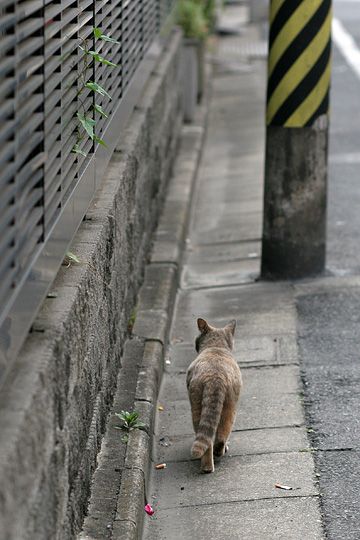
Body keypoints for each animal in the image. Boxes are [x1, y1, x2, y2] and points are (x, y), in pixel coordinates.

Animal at [186, 318, 242, 474]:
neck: (216, 347)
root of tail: (215, 377)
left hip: (197, 406)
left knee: (210, 437)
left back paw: (207, 466)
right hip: (230, 405)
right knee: (221, 435)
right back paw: (216, 455)